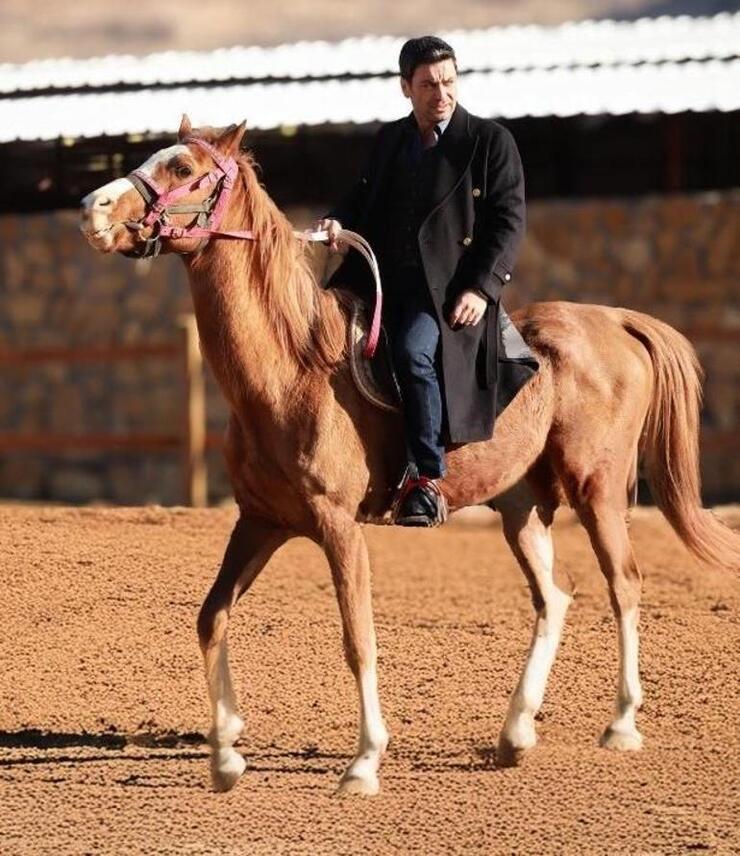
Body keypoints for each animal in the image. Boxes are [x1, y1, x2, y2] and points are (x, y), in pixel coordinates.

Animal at [82, 118, 740, 796]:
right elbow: (211, 618)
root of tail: (614, 321)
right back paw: (515, 733)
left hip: (597, 491)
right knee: (554, 598)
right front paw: (225, 756)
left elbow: (358, 639)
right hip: (522, 508)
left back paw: (621, 724)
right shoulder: (259, 522)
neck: (290, 369)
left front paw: (364, 761)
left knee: (624, 585)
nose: (92, 209)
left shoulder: (338, 526)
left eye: (184, 169)